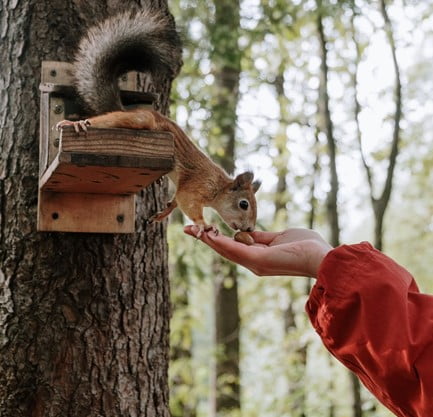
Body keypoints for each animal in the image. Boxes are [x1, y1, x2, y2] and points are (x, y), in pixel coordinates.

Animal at [57, 6, 260, 236]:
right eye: (244, 204)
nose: (250, 229)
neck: (217, 187)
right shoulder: (197, 186)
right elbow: (187, 201)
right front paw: (204, 224)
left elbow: (176, 200)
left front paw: (164, 212)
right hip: (142, 119)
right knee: (108, 119)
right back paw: (76, 124)